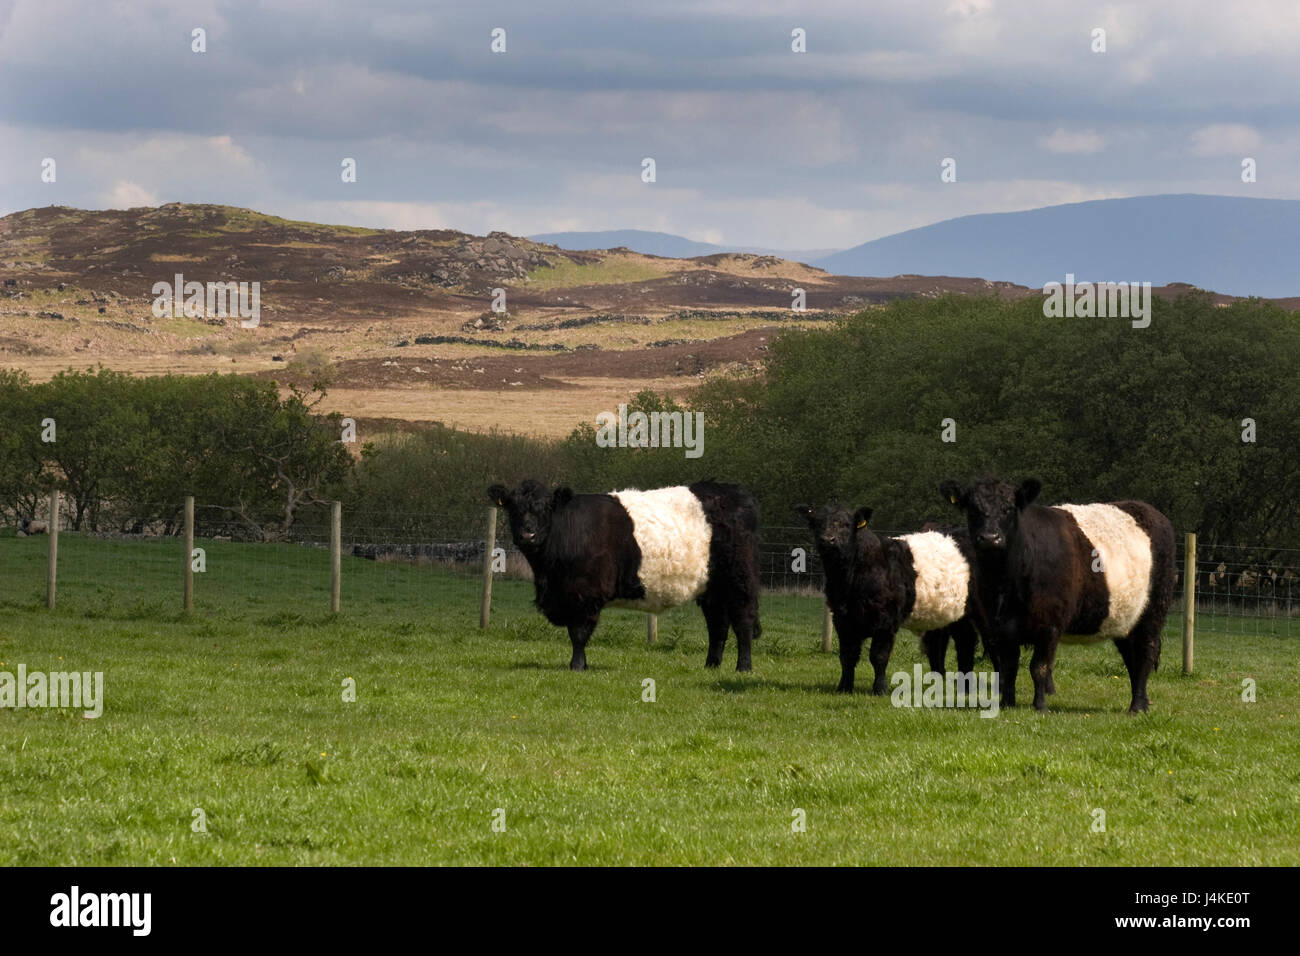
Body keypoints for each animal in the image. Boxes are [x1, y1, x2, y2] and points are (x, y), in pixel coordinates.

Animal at [488, 479, 761, 672]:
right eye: (513, 509)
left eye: (545, 509)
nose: (528, 535)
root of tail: (733, 492)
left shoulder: (586, 595)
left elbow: (578, 634)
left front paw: (577, 666)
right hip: (712, 588)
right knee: (718, 625)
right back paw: (711, 666)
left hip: (739, 580)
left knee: (742, 621)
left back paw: (743, 667)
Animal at [793, 503, 980, 694]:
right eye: (816, 524)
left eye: (846, 524)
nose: (827, 539)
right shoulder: (842, 619)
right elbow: (847, 656)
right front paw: (844, 688)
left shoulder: (885, 620)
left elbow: (878, 656)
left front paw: (880, 689)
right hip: (947, 615)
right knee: (943, 644)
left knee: (965, 643)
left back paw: (965, 687)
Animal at [939, 477, 1177, 713]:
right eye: (973, 509)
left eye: (1008, 509)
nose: (990, 538)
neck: (1005, 583)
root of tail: (1148, 510)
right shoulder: (999, 626)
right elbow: (1008, 667)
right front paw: (1007, 704)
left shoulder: (1049, 624)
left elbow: (1039, 667)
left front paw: (1040, 706)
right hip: (1124, 618)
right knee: (1131, 658)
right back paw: (1141, 702)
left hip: (1154, 611)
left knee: (1146, 652)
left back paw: (1136, 706)